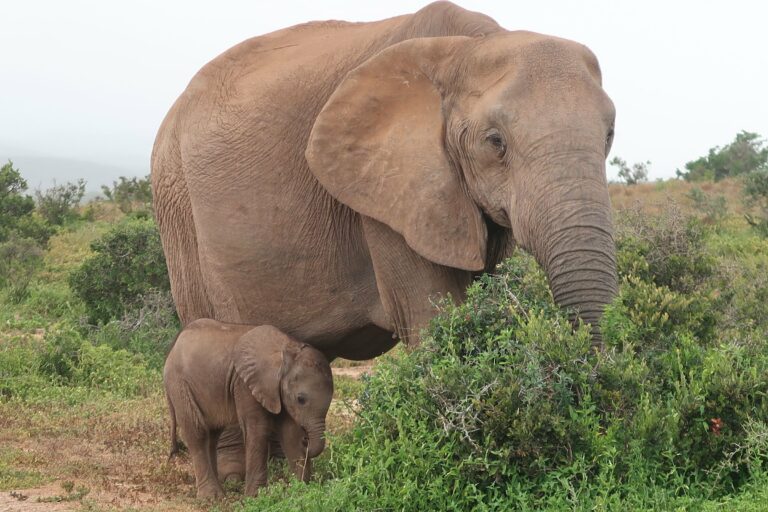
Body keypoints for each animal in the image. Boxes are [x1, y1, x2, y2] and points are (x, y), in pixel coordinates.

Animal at [152, 0, 618, 472]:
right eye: (495, 142)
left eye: (609, 136)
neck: (470, 46)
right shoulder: (386, 194)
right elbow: (433, 317)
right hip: (176, 201)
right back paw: (236, 475)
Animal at [164, 319, 334, 498]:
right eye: (301, 399)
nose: (306, 441)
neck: (286, 349)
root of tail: (172, 349)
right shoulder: (245, 384)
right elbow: (258, 429)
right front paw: (256, 497)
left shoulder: (274, 390)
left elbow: (290, 433)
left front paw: (301, 491)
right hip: (179, 384)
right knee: (197, 433)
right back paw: (212, 498)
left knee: (212, 435)